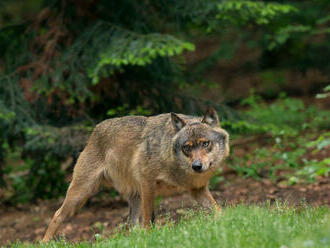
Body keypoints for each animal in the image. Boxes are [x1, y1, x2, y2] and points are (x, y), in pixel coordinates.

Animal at [42, 107, 229, 241]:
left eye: (205, 143)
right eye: (187, 148)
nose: (197, 166)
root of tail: (95, 130)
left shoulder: (197, 190)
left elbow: (218, 209)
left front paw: (226, 220)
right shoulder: (147, 185)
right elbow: (148, 219)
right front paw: (151, 238)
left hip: (134, 198)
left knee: (131, 226)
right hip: (80, 195)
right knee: (57, 215)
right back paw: (44, 242)